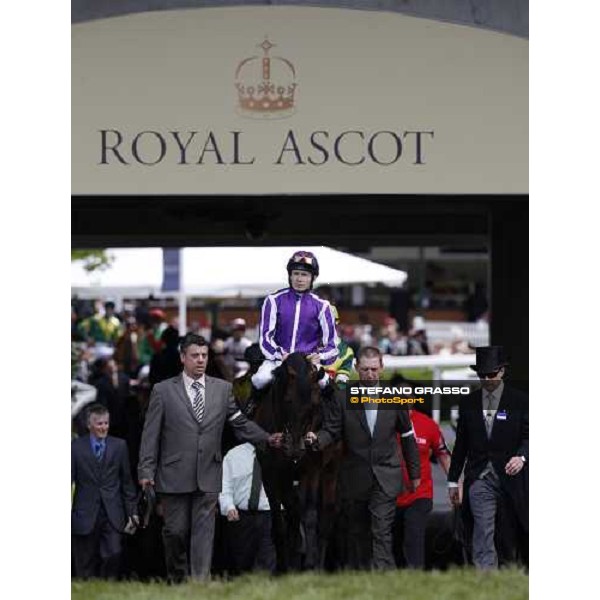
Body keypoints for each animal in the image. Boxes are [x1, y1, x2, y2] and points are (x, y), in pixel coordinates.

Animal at [251, 354, 340, 576]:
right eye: (288, 400)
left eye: (314, 404)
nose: (295, 448)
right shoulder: (271, 472)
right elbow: (280, 519)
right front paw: (283, 567)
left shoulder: (311, 469)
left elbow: (309, 513)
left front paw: (309, 564)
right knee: (293, 508)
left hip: (331, 468)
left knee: (326, 513)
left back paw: (317, 564)